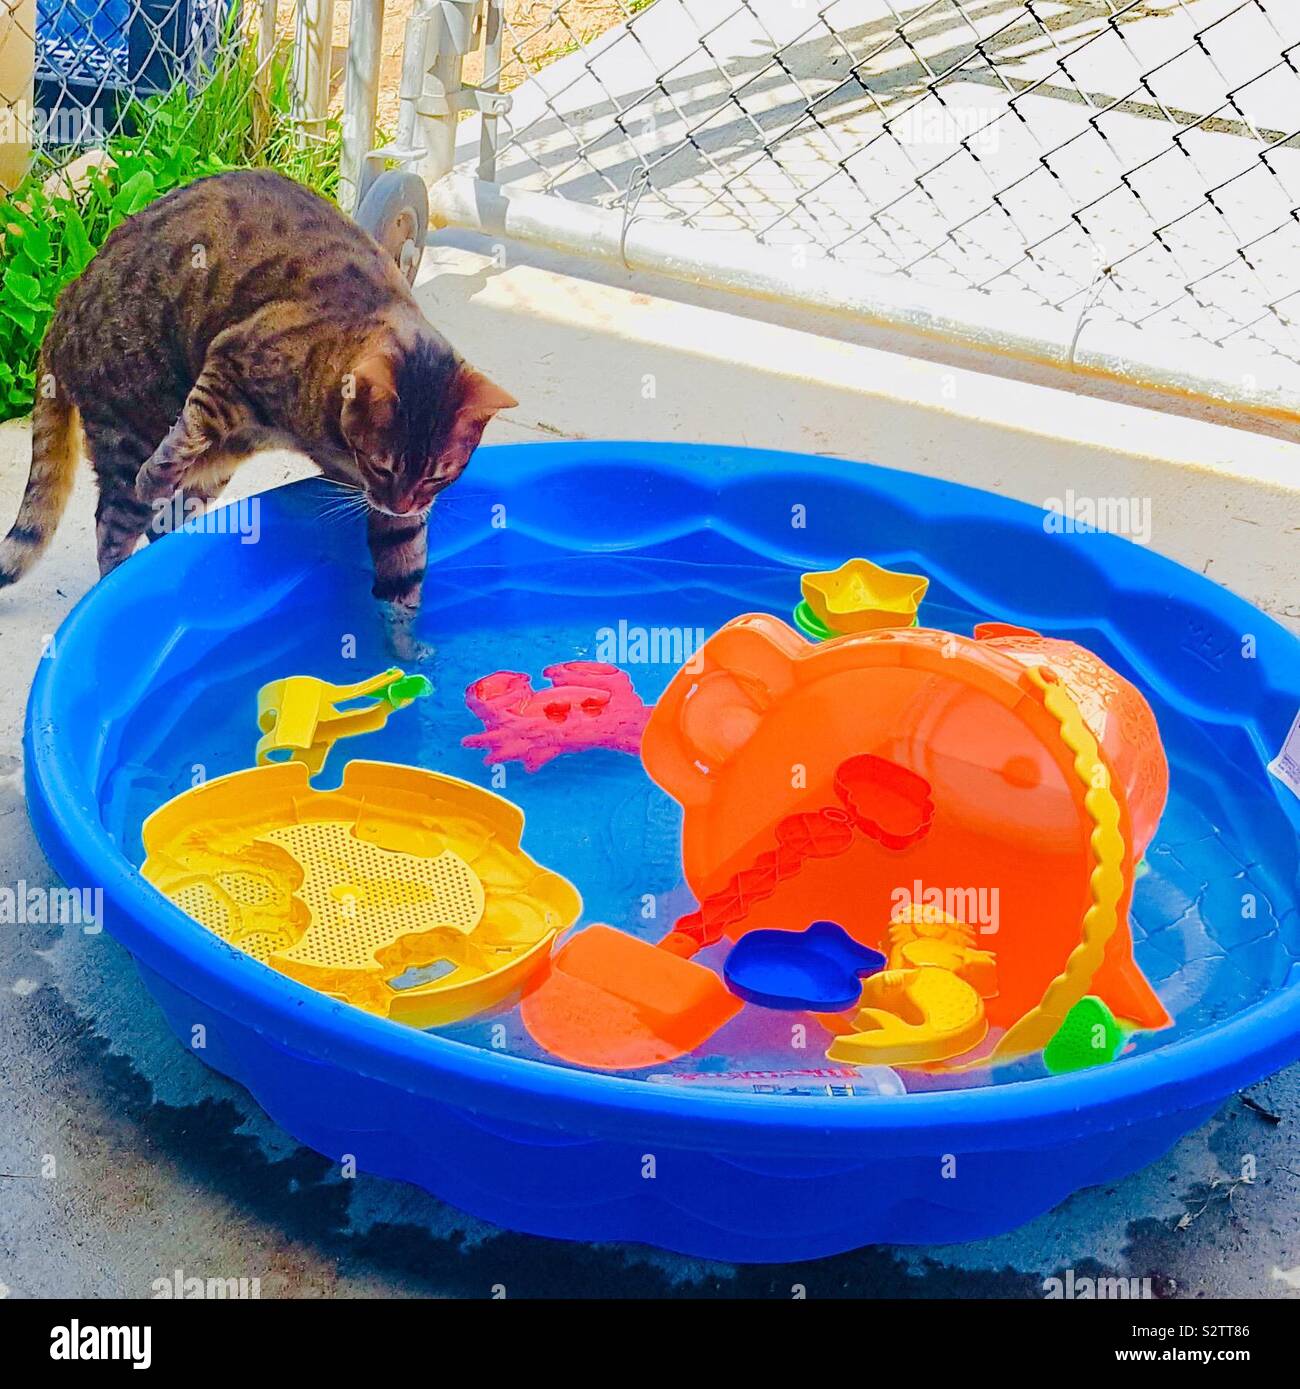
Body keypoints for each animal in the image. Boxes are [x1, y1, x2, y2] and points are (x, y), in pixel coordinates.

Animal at [0, 166, 516, 638]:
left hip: (211, 472)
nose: (404, 503)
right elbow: (193, 423)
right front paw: (158, 471)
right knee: (114, 529)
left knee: (163, 527)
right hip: (130, 430)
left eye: (438, 475)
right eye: (382, 465)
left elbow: (403, 567)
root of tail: (64, 303)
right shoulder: (233, 358)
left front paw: (405, 647)